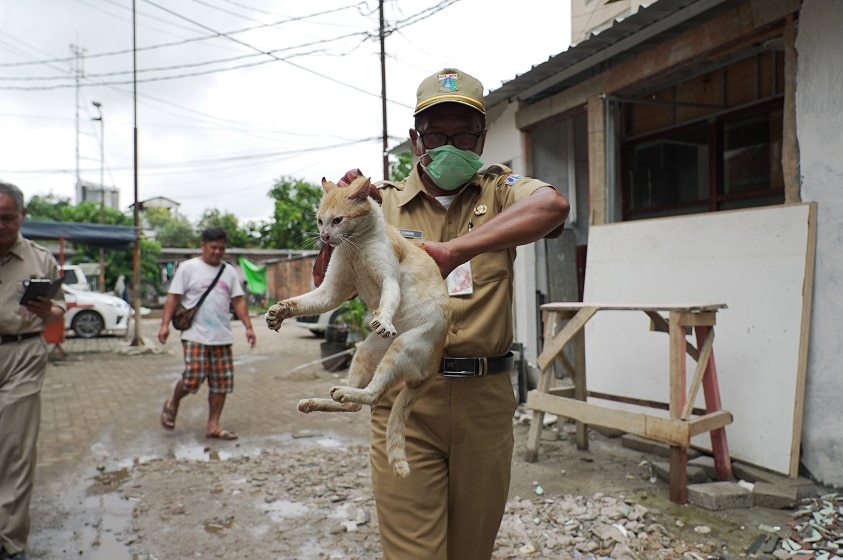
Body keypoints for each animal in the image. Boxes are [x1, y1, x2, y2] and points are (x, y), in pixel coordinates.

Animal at [268, 175, 452, 476]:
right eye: (320, 221)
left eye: (338, 220)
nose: (324, 237)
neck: (354, 246)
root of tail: (436, 363)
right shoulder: (332, 291)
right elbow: (303, 302)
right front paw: (278, 312)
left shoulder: (389, 277)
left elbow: (388, 300)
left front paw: (384, 320)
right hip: (366, 350)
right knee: (353, 406)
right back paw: (317, 401)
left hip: (402, 346)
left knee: (374, 394)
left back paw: (346, 390)